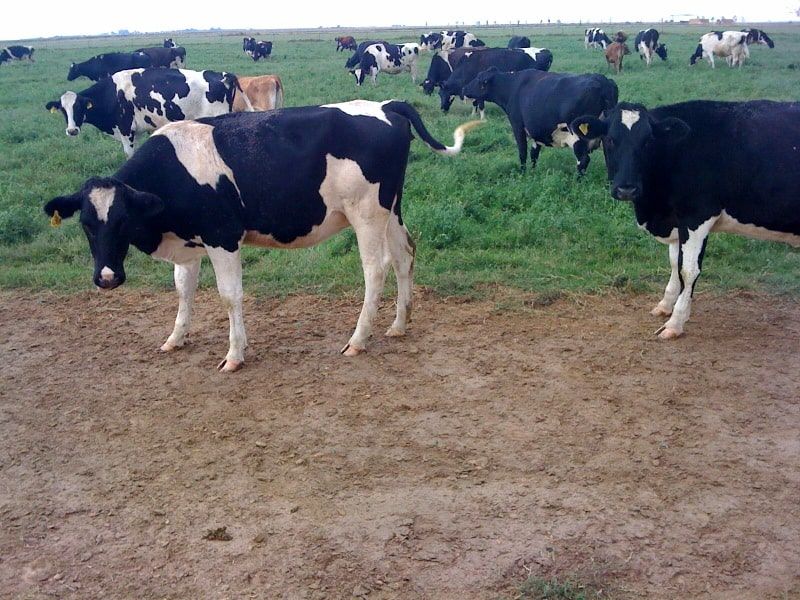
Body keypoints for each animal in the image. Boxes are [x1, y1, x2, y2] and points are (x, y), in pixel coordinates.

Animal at [45, 67, 245, 157]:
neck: (111, 94)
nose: (72, 130)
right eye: (63, 110)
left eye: (78, 107)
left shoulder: (126, 130)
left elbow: (129, 155)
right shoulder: (136, 131)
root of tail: (223, 75)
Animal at [47, 99, 482, 370]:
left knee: (376, 269)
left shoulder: (222, 236)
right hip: (391, 209)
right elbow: (183, 290)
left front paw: (235, 354)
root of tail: (385, 106)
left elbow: (229, 295)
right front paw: (176, 337)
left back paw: (359, 339)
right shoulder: (189, 244)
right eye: (86, 224)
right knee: (406, 254)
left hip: (367, 214)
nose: (106, 277)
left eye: (121, 221)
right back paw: (399, 324)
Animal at [462, 67, 620, 173]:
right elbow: (534, 154)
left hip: (577, 135)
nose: (464, 88)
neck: (513, 86)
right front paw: (533, 172)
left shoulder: (518, 126)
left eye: (478, 79)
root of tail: (602, 81)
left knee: (583, 160)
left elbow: (523, 152)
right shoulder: (535, 131)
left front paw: (523, 173)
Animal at [572, 101, 800, 340]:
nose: (627, 189)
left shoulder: (697, 216)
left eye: (648, 141)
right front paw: (665, 305)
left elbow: (688, 270)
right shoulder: (677, 222)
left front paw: (676, 321)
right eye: (609, 139)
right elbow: (675, 262)